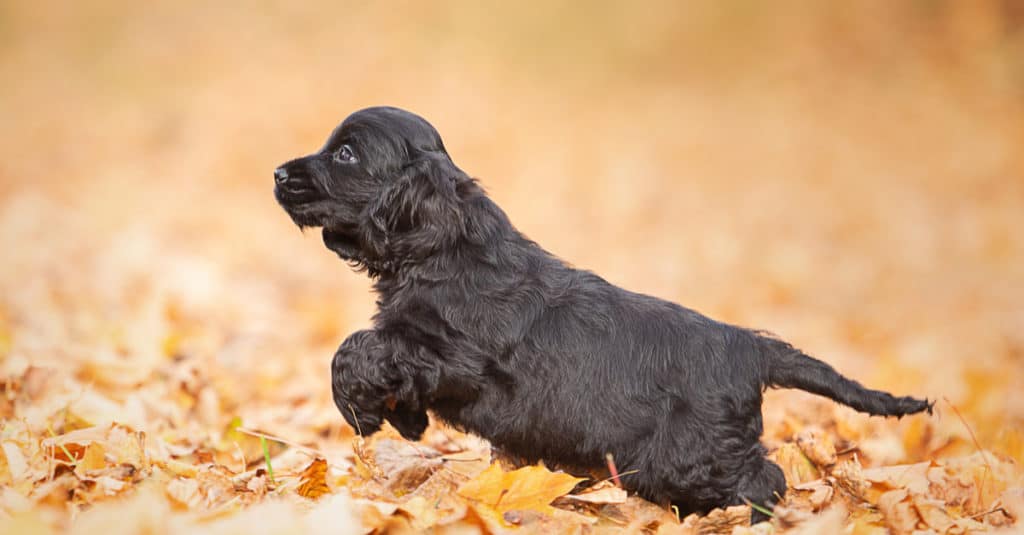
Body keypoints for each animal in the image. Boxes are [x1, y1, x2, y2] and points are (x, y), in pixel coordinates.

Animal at [274, 106, 937, 518]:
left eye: (347, 154)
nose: (278, 171)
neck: (445, 247)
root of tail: (752, 346)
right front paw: (404, 420)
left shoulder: (452, 355)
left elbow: (358, 349)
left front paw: (363, 413)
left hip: (691, 454)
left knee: (762, 481)